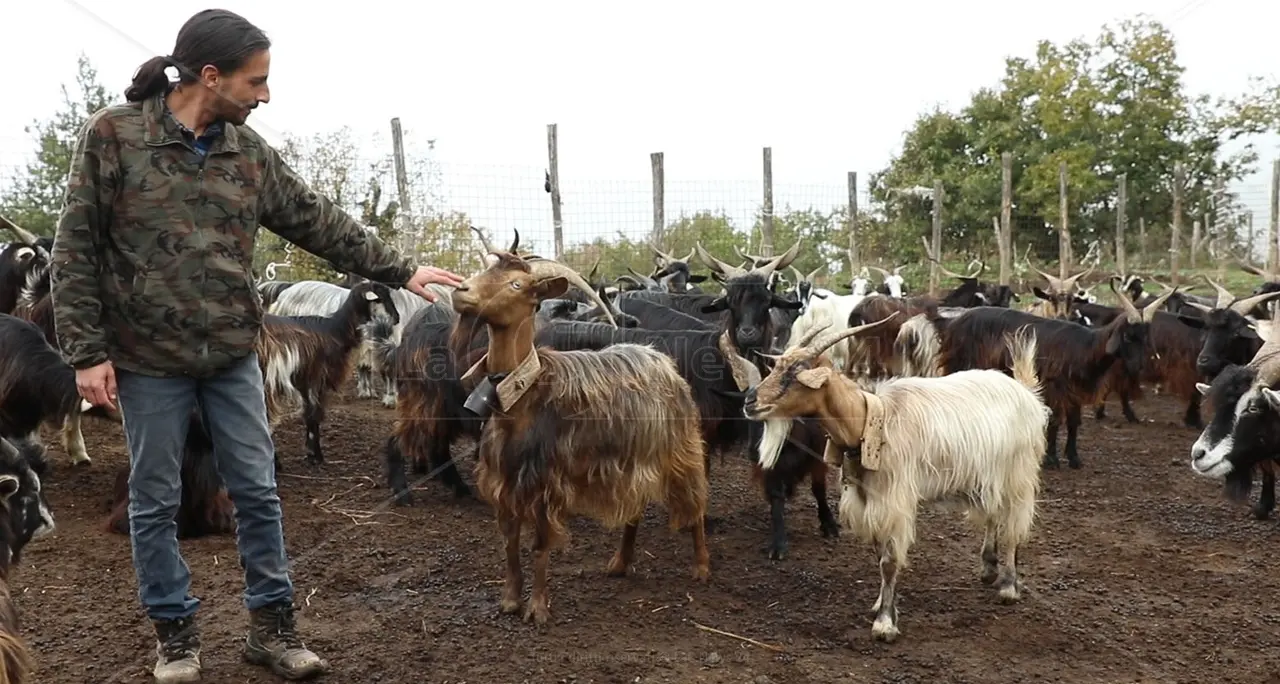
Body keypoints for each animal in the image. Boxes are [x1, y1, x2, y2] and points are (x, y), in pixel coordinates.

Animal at [453, 251, 711, 627]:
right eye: (487, 269)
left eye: (516, 284)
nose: (461, 291)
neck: (523, 395)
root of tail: (660, 359)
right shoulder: (506, 483)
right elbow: (510, 544)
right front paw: (510, 601)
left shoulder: (545, 483)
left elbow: (540, 546)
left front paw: (538, 609)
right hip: (632, 458)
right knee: (634, 506)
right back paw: (619, 563)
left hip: (680, 450)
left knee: (695, 504)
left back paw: (702, 567)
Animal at [747, 320, 1049, 643]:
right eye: (778, 366)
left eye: (795, 373)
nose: (750, 401)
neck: (870, 424)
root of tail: (1027, 392)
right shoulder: (869, 499)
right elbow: (880, 554)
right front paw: (881, 603)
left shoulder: (895, 501)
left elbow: (889, 562)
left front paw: (884, 623)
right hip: (987, 475)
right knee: (993, 514)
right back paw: (989, 568)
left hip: (1018, 472)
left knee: (1013, 523)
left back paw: (1008, 585)